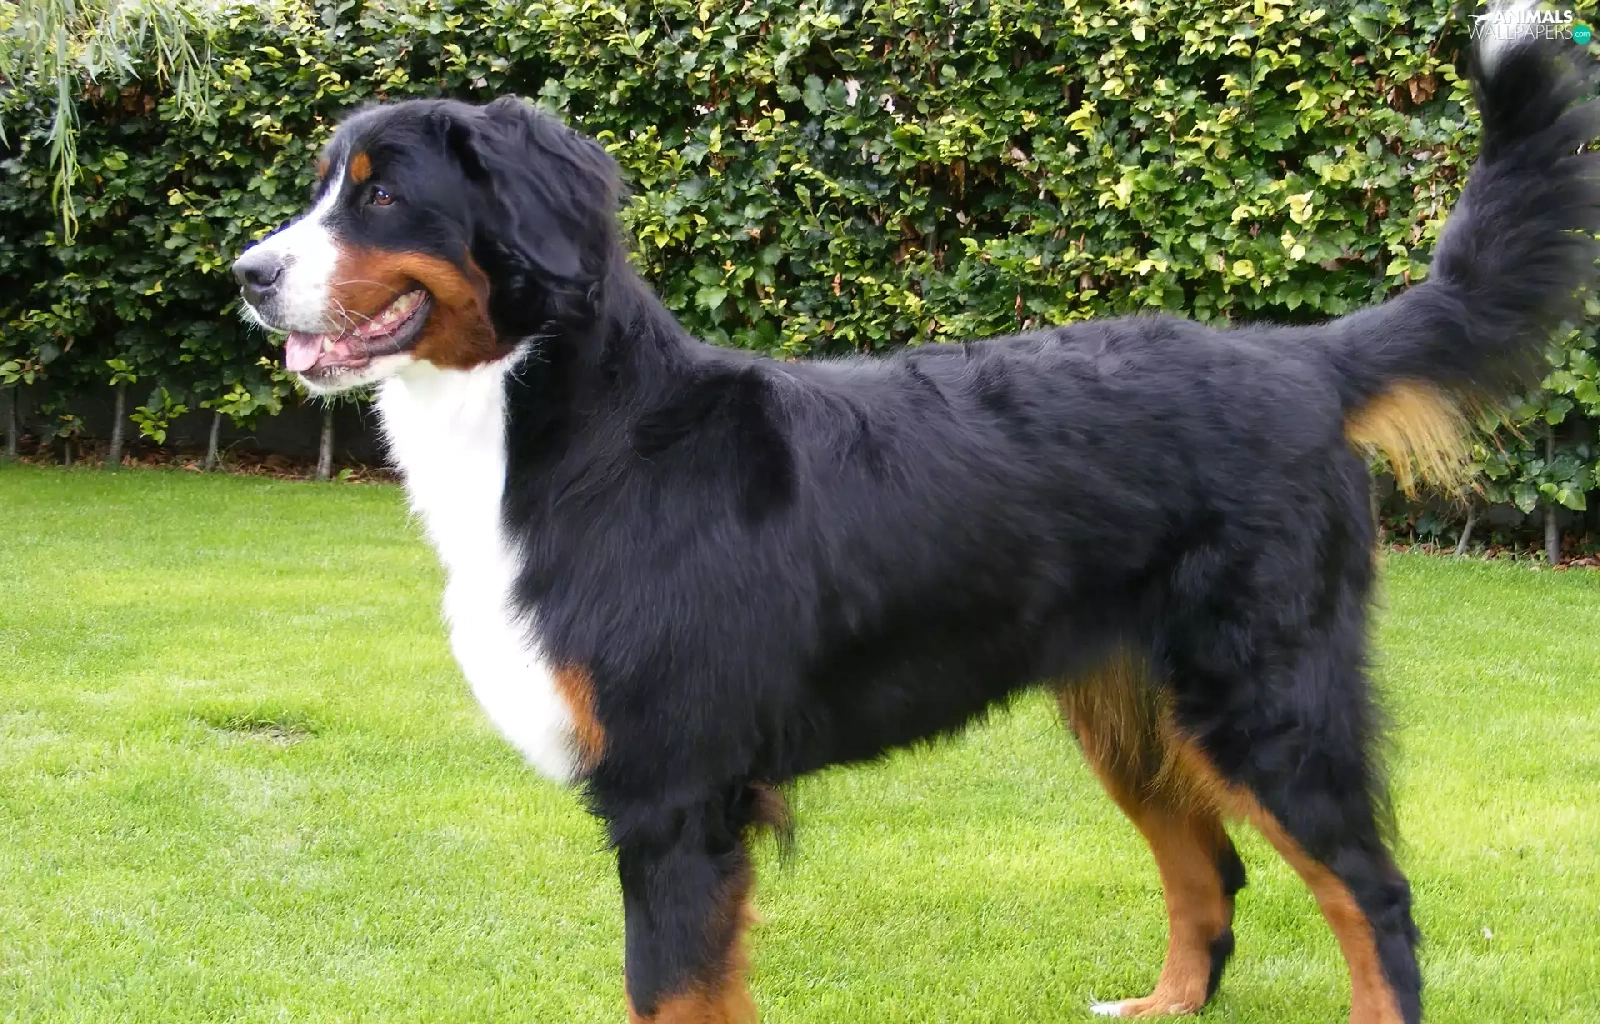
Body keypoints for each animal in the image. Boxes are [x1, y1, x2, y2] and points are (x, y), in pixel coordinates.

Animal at [232, 24, 1598, 1024]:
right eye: (320, 190)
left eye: (381, 196)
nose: (246, 273)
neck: (565, 429)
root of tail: (1297, 357)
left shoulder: (677, 792)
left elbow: (671, 991)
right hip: (1129, 707)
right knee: (1210, 871)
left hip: (1263, 697)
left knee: (1373, 893)